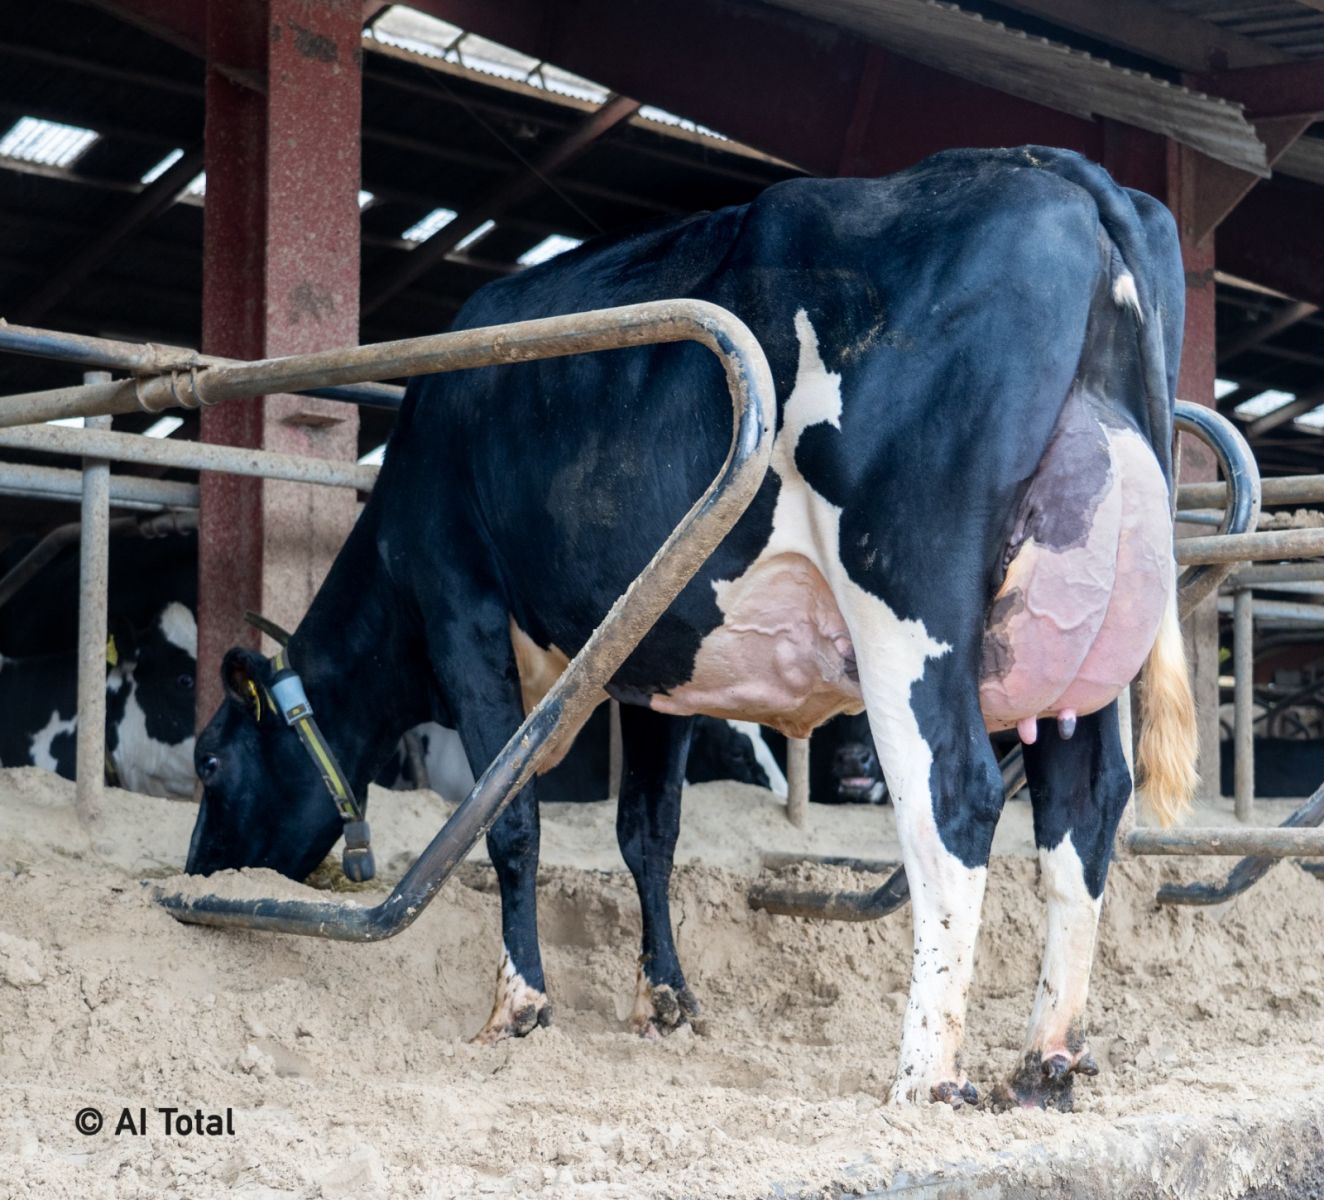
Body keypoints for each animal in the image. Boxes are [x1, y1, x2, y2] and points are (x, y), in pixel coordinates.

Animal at [185, 147, 1196, 1111]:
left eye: (211, 760)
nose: (199, 878)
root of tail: (1052, 166)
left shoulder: (459, 604)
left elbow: (514, 822)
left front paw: (518, 1006)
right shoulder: (657, 658)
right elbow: (649, 832)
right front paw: (664, 999)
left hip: (907, 600)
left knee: (955, 796)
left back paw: (926, 1076)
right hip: (1080, 644)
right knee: (1085, 806)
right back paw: (1047, 1060)